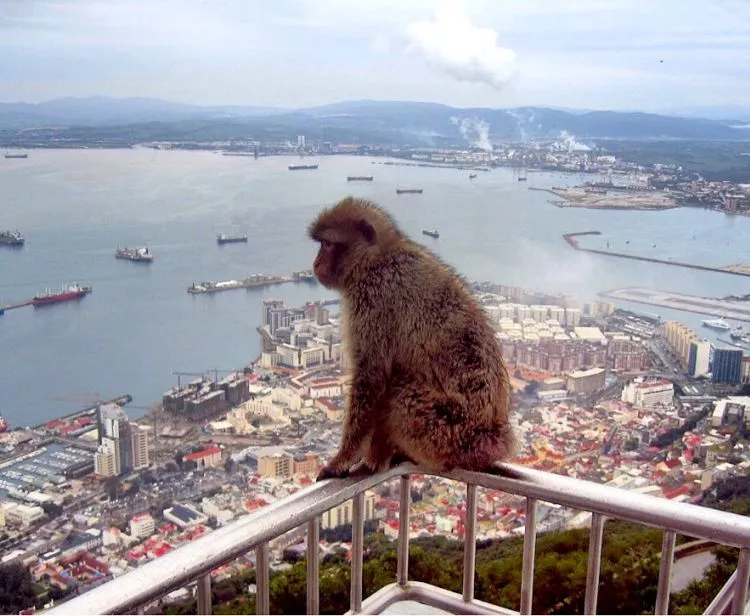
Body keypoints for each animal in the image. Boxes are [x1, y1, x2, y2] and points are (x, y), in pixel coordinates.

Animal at [308, 195, 520, 478]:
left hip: (447, 435)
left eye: (328, 245)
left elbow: (371, 377)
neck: (378, 258)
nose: (315, 264)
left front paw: (342, 460)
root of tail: (493, 438)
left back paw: (379, 458)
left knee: (399, 396)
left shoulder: (372, 300)